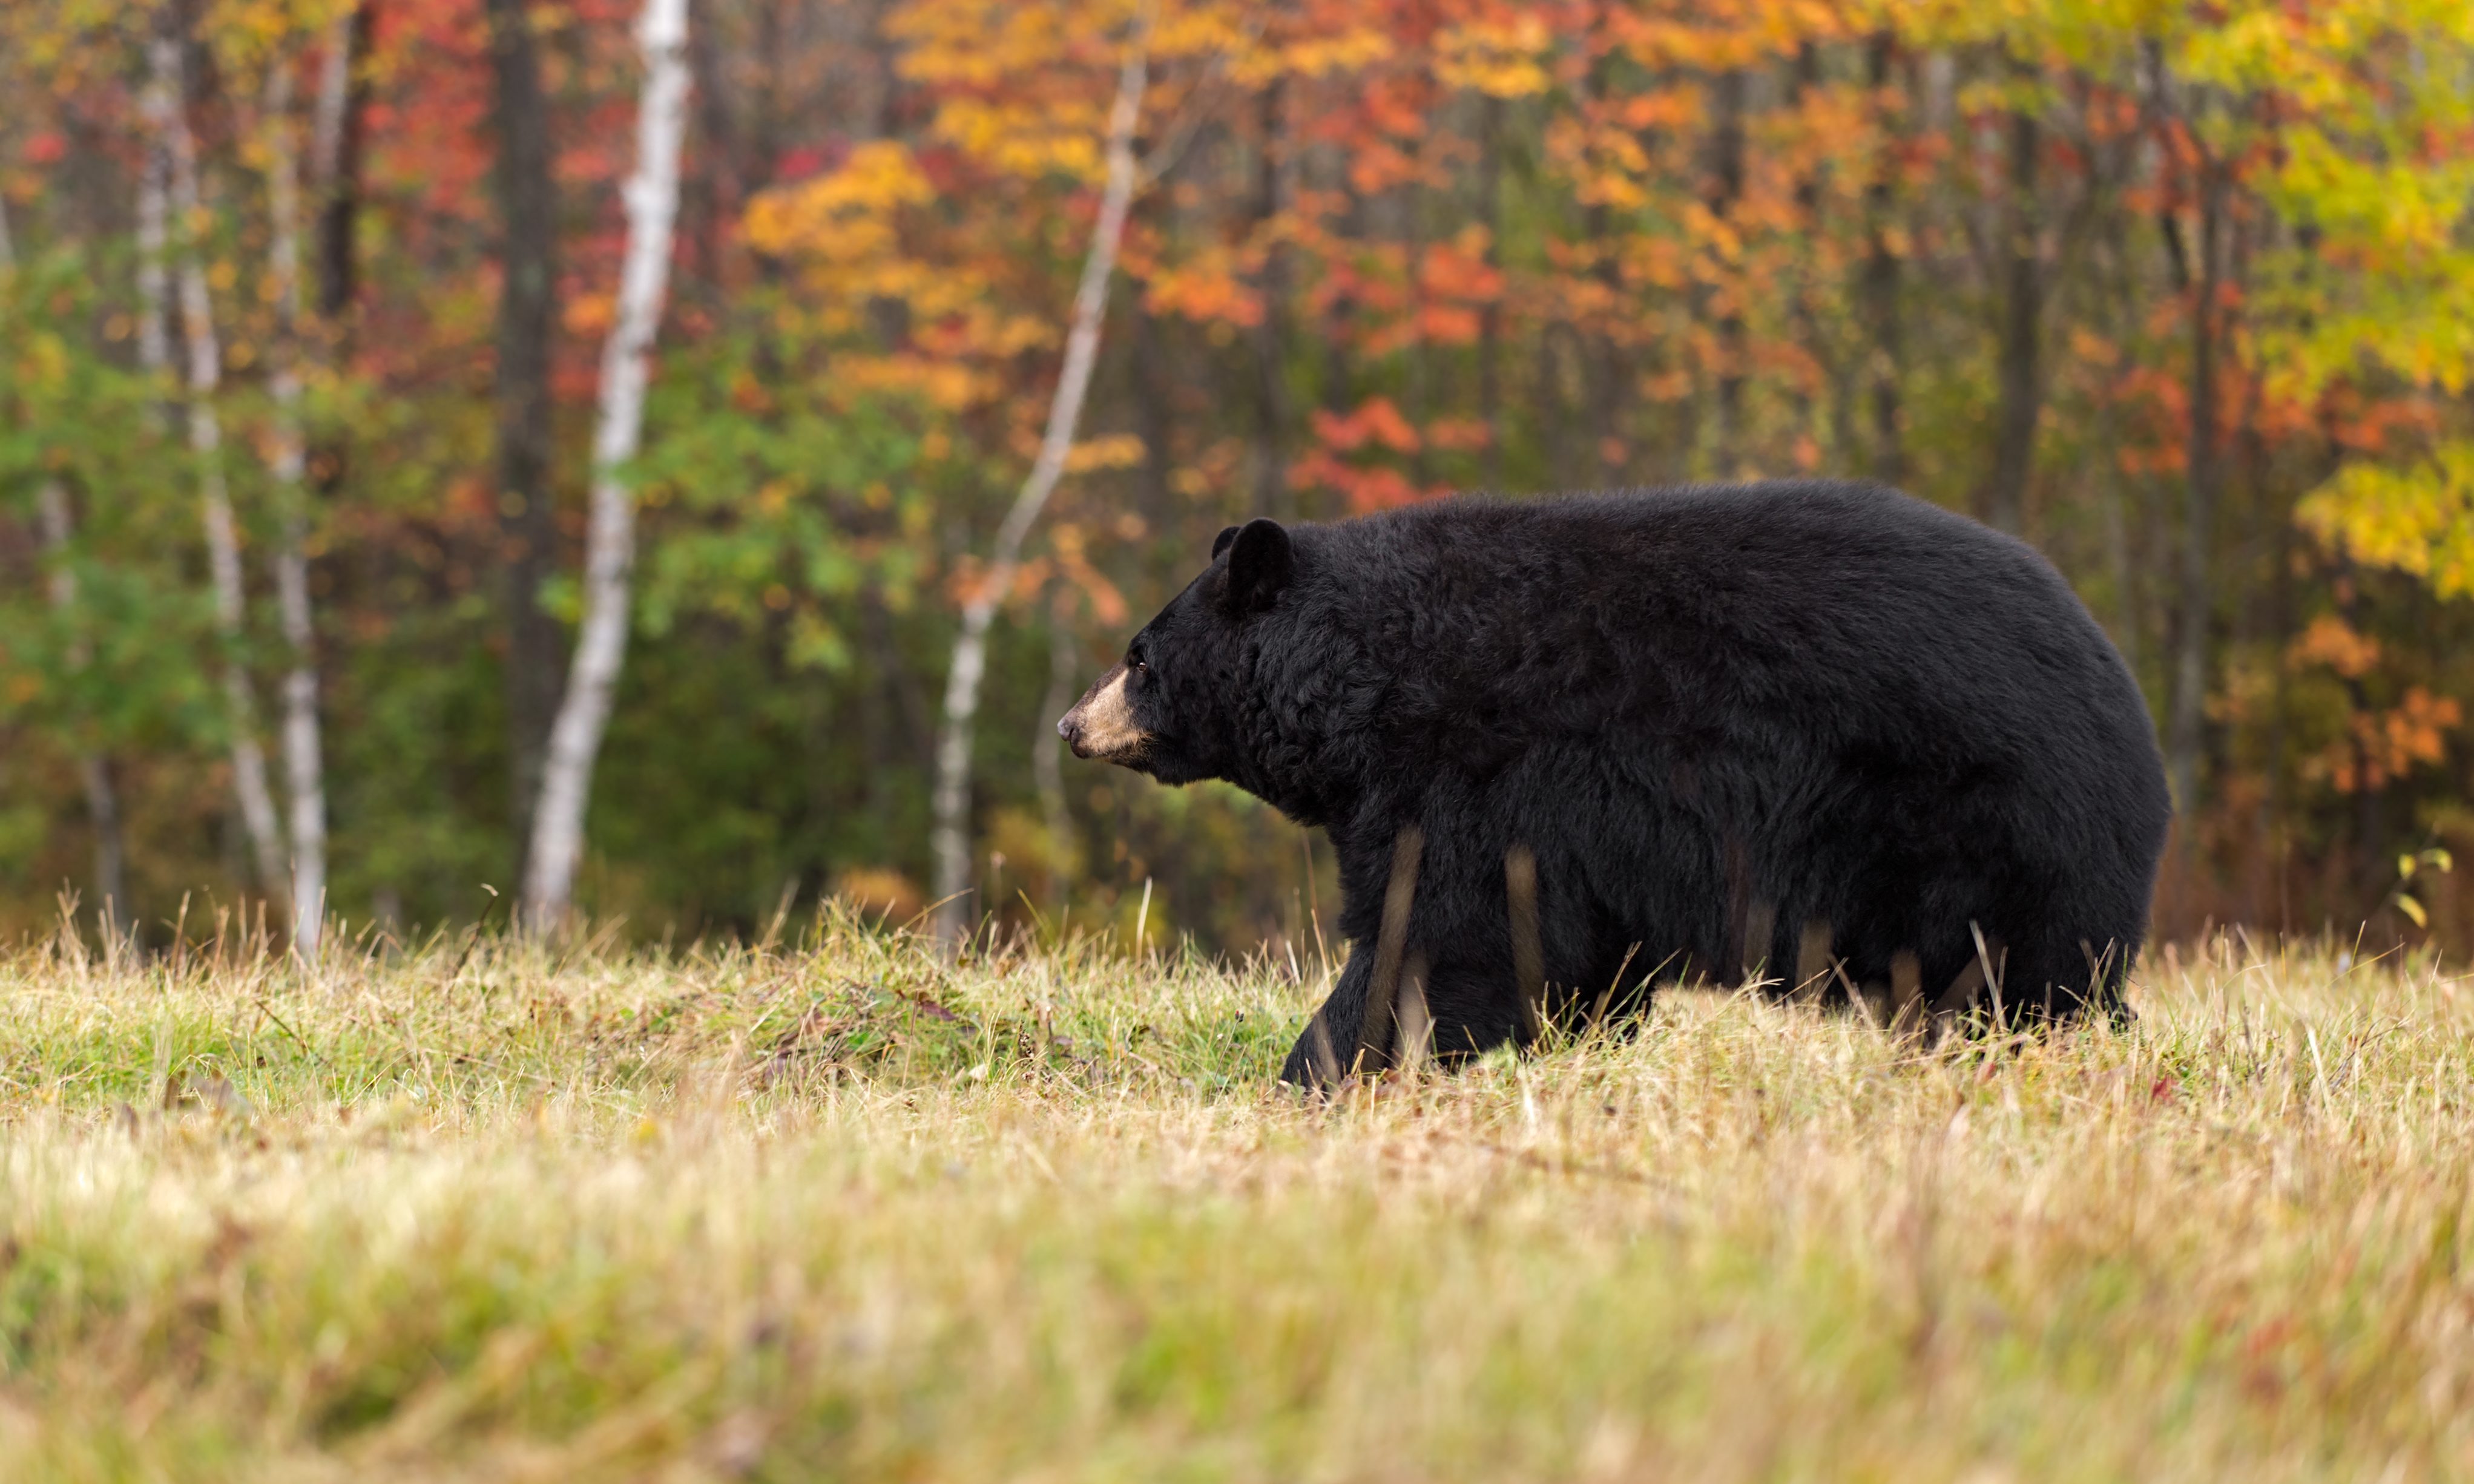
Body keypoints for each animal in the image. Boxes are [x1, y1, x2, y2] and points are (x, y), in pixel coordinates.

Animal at [1057, 482, 2171, 1087]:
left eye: (1139, 656)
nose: (1072, 724)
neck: (1366, 678)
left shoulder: (1477, 776)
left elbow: (1443, 936)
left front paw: (1321, 1069)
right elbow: (1561, 957)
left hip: (1976, 824)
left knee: (2017, 973)